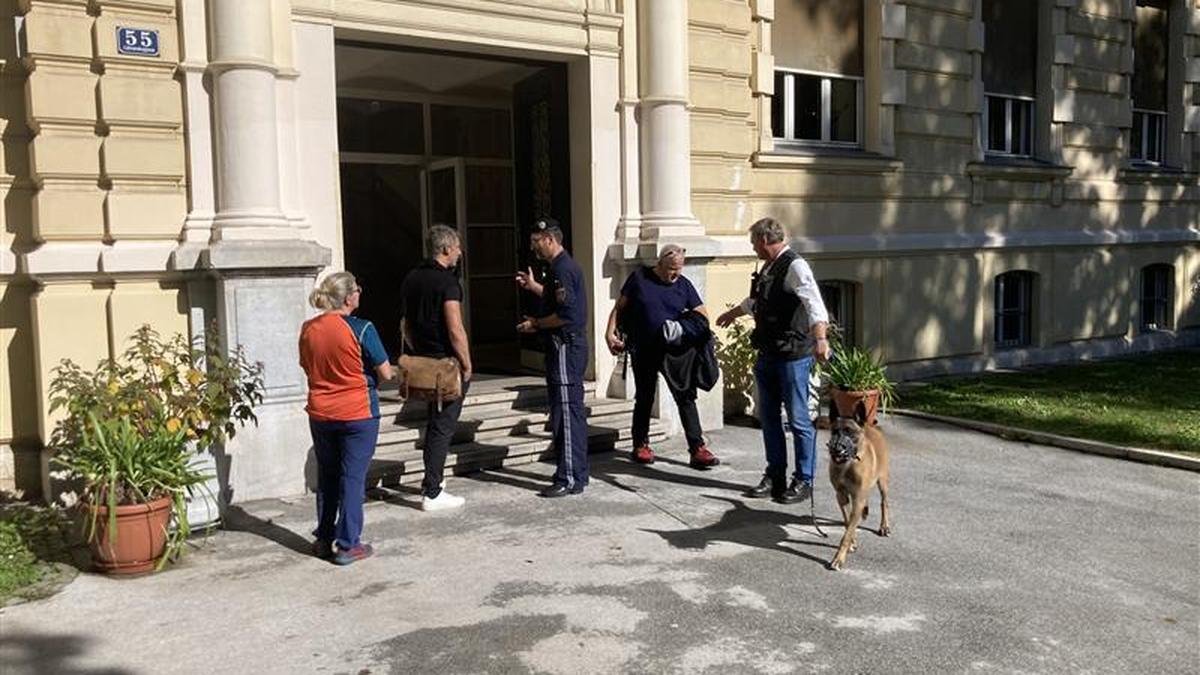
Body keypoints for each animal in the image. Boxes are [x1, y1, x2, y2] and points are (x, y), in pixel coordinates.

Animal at [825, 415, 892, 566]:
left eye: (849, 432)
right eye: (834, 431)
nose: (836, 448)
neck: (848, 464)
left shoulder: (857, 499)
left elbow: (847, 532)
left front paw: (838, 559)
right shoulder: (841, 496)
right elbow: (847, 522)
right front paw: (852, 542)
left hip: (883, 481)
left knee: (884, 503)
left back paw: (884, 526)